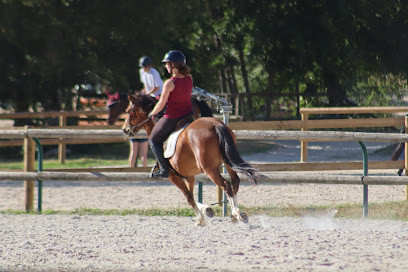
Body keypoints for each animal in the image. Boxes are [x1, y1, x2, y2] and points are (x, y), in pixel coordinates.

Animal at [122, 93, 260, 225]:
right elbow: (192, 195)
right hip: (227, 162)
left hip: (210, 169)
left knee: (226, 184)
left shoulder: (173, 176)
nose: (125, 129)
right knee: (235, 181)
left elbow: (188, 196)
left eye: (129, 111)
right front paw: (206, 210)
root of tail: (216, 124)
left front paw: (200, 219)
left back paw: (236, 213)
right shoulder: (189, 175)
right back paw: (235, 215)